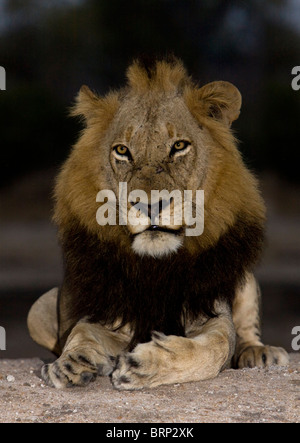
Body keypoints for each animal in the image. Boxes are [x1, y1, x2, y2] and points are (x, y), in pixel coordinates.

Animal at [27, 57, 288, 390]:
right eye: (122, 151)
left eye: (179, 146)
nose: (149, 205)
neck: (157, 264)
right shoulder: (106, 314)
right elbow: (81, 333)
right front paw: (71, 362)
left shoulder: (211, 312)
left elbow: (216, 346)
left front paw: (144, 365)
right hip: (38, 308)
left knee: (246, 330)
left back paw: (260, 353)